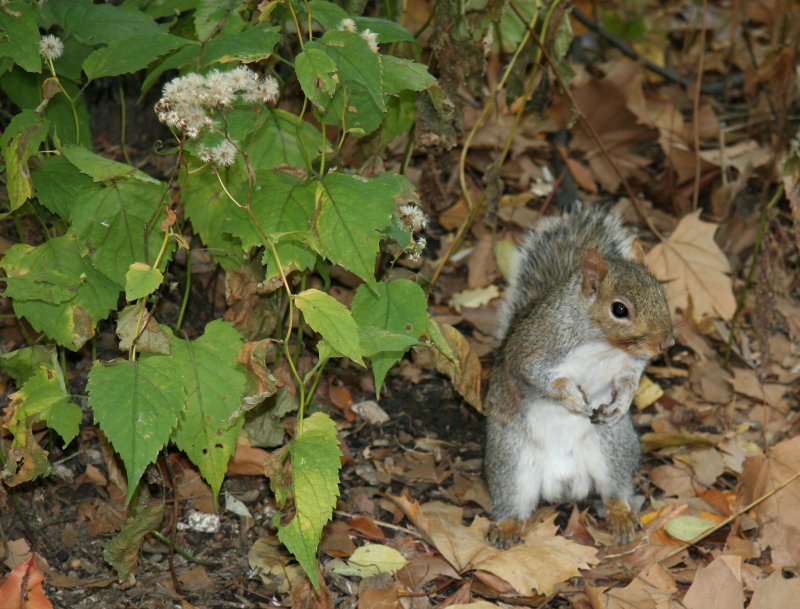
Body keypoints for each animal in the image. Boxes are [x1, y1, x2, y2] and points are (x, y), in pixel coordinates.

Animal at [482, 204, 676, 548]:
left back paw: (621, 515)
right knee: (512, 501)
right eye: (619, 309)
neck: (602, 344)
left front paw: (622, 403)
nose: (667, 344)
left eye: (660, 294)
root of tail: (564, 482)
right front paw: (574, 399)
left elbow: (629, 381)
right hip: (512, 458)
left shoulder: (630, 364)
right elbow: (540, 377)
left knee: (614, 490)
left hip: (613, 447)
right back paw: (506, 526)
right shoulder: (534, 348)